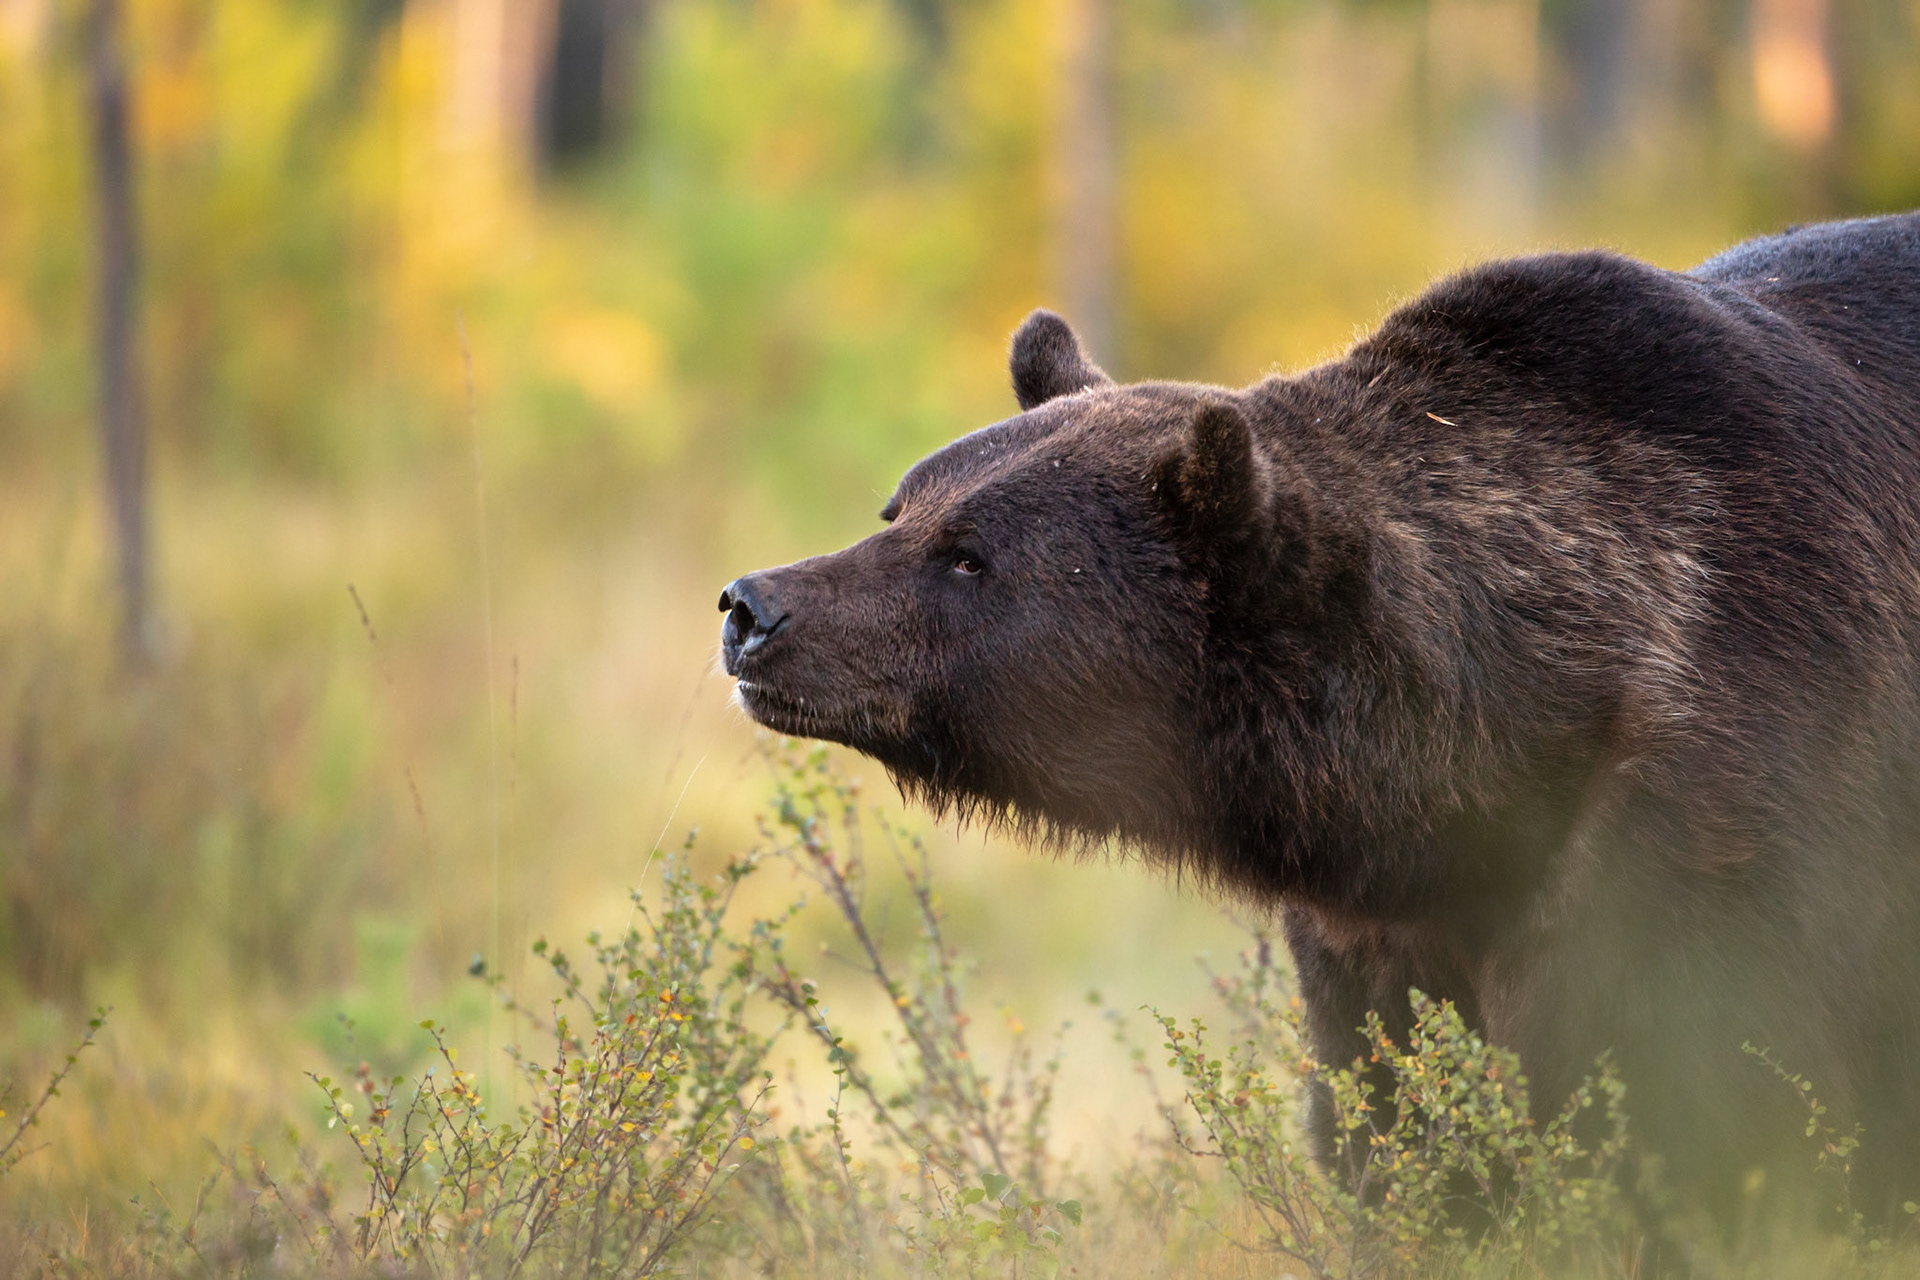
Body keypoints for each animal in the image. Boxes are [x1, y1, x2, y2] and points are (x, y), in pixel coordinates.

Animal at [717, 212, 1920, 1229]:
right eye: (901, 504)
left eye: (969, 555)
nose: (753, 607)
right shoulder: (1380, 935)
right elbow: (1394, 1129)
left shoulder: (1729, 814)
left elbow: (1711, 1113)